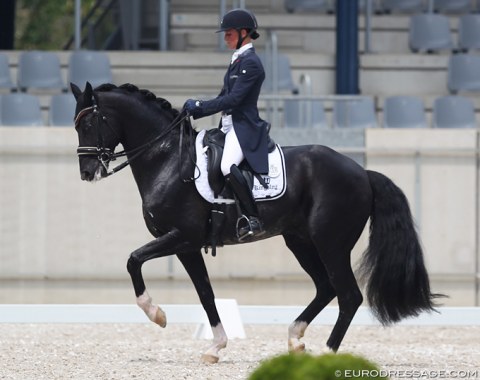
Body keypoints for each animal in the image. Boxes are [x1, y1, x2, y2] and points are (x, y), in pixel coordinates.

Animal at [69, 82, 440, 362]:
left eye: (88, 125)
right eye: (76, 125)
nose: (87, 173)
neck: (168, 161)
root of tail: (362, 172)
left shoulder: (181, 237)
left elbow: (133, 260)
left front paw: (156, 314)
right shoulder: (187, 246)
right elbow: (205, 293)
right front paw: (215, 347)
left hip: (330, 242)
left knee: (348, 295)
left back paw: (326, 353)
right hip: (300, 241)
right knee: (326, 288)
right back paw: (295, 339)